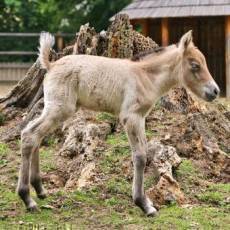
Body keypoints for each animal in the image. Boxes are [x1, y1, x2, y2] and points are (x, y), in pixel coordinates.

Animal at [17, 30, 219, 216]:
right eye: (195, 65)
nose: (215, 91)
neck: (145, 76)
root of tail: (51, 65)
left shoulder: (141, 117)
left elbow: (144, 152)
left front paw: (146, 201)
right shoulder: (131, 117)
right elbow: (139, 157)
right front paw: (143, 204)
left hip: (56, 109)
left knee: (34, 135)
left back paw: (40, 190)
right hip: (60, 108)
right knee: (29, 135)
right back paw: (27, 198)